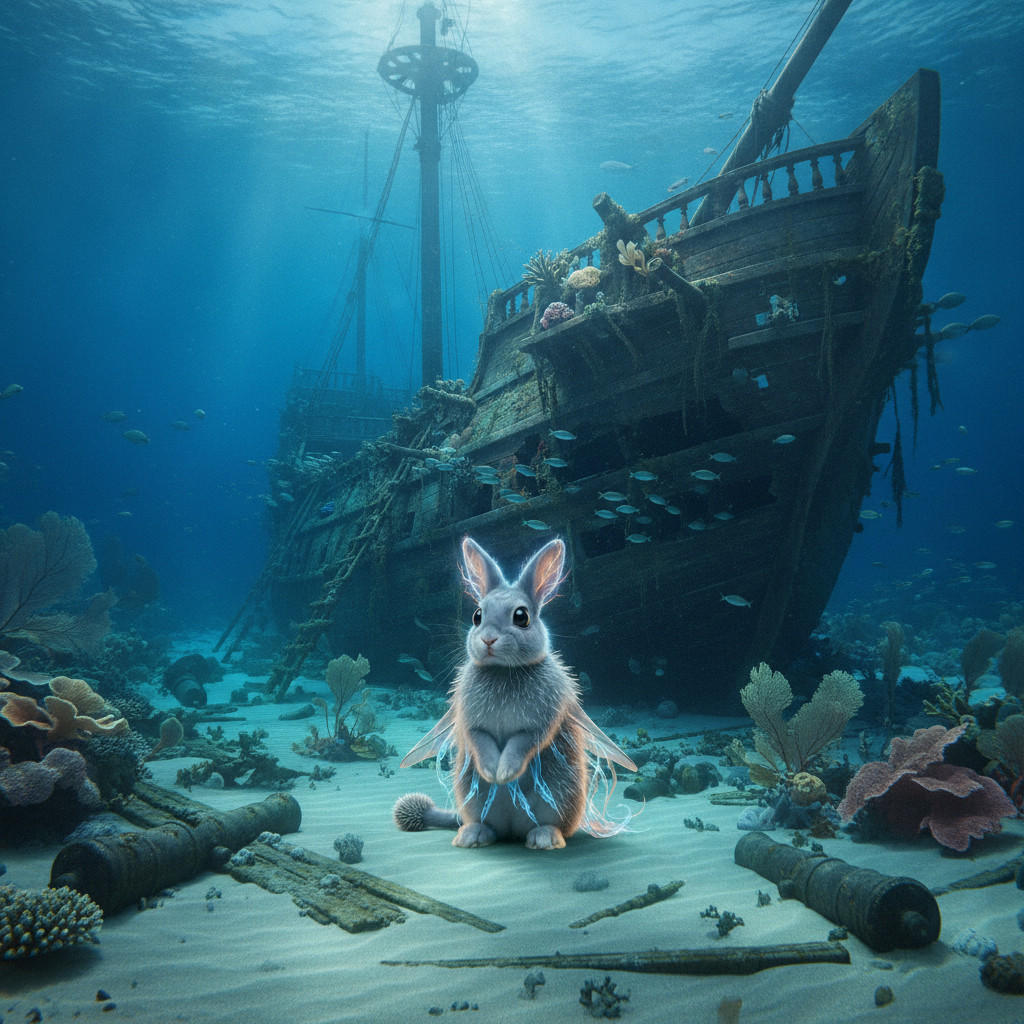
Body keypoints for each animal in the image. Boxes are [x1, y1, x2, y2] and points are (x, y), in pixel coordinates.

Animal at [393, 536, 636, 850]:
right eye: (477, 615)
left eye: (521, 617)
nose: (488, 639)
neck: (504, 671)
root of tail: (512, 831)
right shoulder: (471, 721)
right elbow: (480, 739)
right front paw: (492, 772)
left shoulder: (540, 722)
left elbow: (522, 743)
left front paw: (505, 772)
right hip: (471, 797)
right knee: (485, 824)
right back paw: (472, 836)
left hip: (561, 797)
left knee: (548, 824)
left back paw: (543, 838)